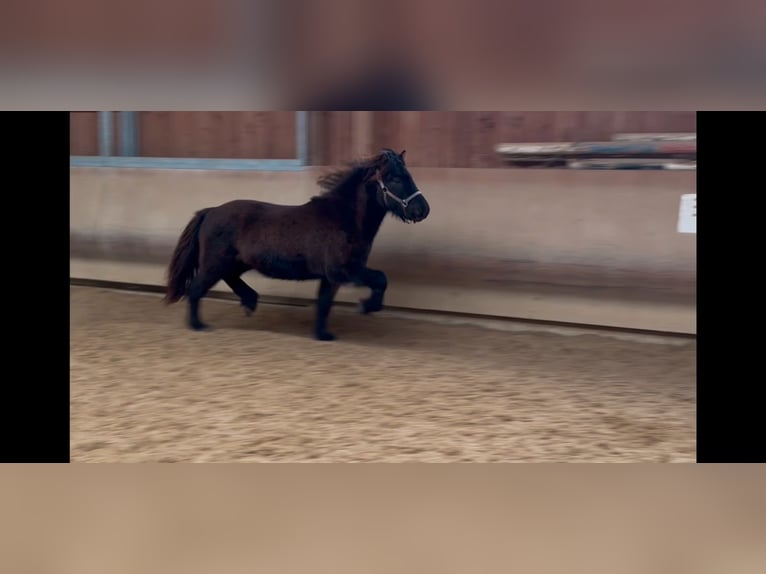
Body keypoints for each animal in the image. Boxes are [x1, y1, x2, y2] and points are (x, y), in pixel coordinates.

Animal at [163, 148, 430, 341]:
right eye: (395, 178)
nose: (423, 210)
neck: (343, 217)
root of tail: (210, 211)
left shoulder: (330, 277)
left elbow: (323, 303)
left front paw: (323, 335)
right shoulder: (344, 271)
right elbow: (380, 279)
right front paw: (366, 307)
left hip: (236, 262)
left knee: (229, 279)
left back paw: (250, 302)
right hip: (215, 263)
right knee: (196, 290)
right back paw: (199, 325)